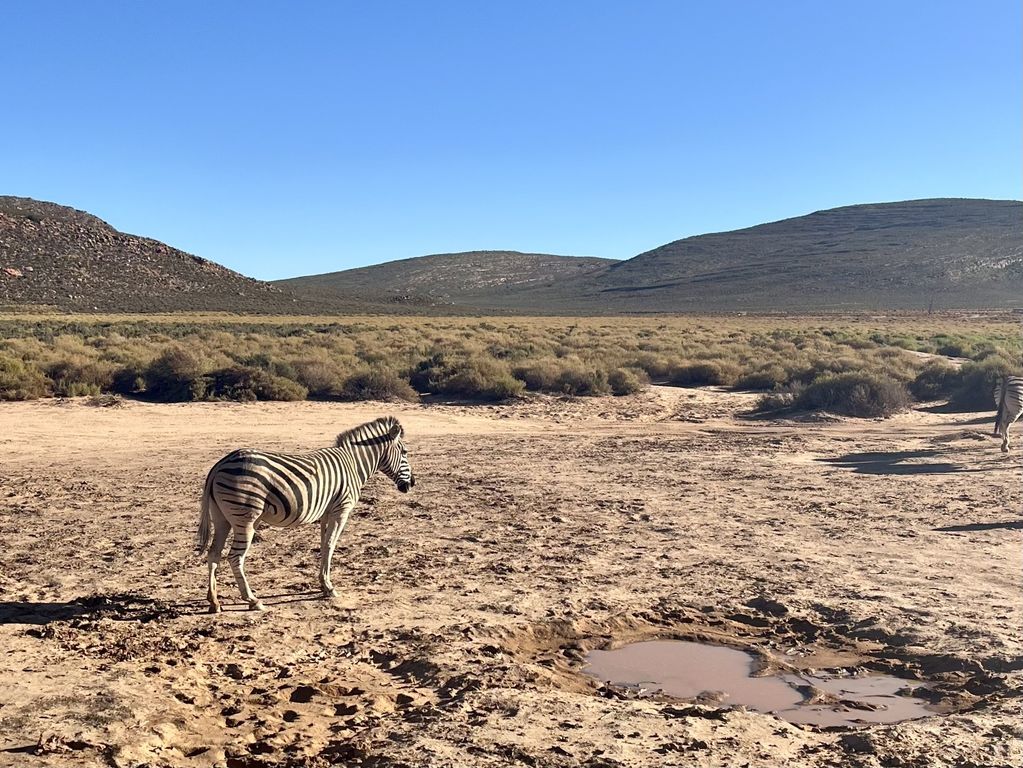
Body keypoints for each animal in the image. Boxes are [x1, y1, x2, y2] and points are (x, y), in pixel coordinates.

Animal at [193, 415, 413, 613]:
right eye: (404, 452)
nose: (412, 484)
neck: (353, 464)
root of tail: (220, 464)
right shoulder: (341, 509)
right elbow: (331, 544)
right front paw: (329, 588)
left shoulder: (327, 511)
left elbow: (324, 545)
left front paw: (323, 584)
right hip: (245, 519)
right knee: (235, 557)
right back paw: (252, 600)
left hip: (222, 517)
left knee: (213, 554)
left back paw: (214, 602)